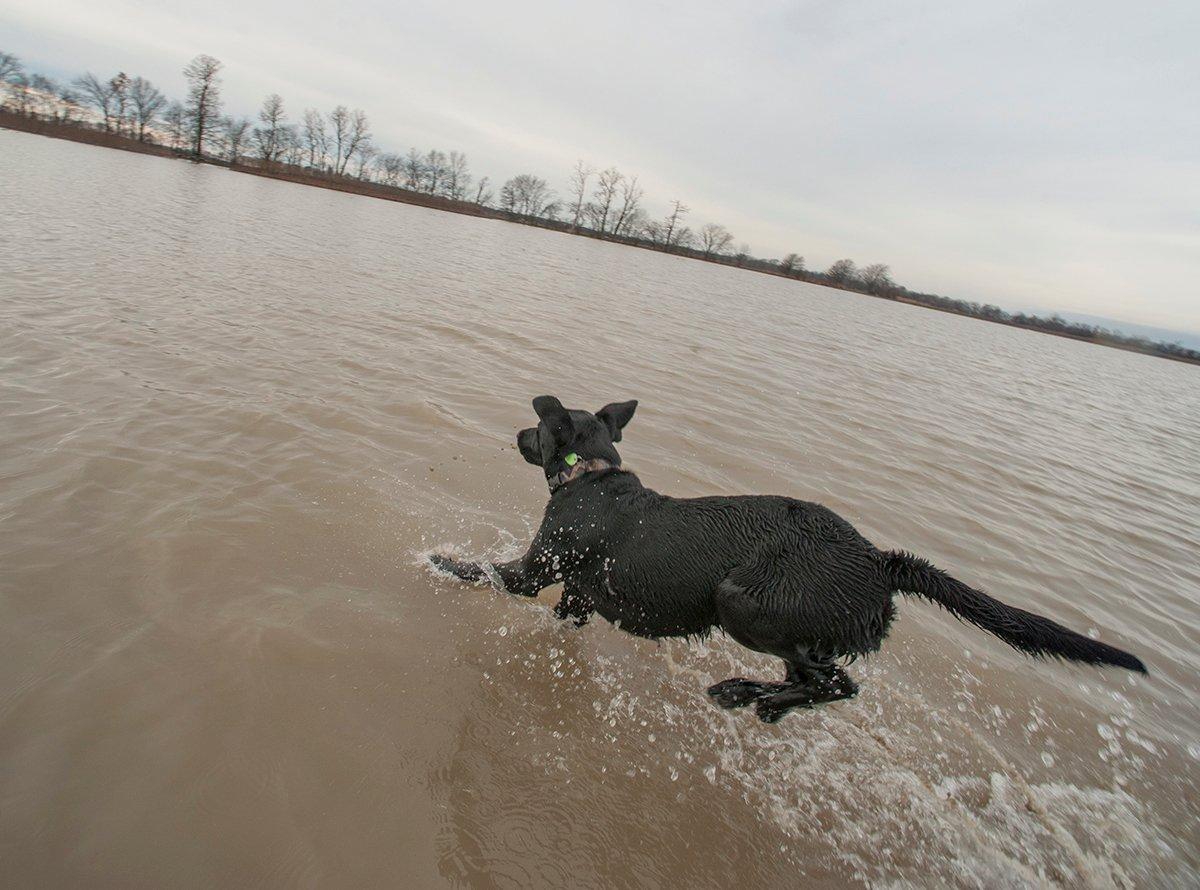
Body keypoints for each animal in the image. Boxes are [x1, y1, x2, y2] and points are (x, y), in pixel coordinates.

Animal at [429, 398, 1142, 724]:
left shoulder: (536, 571)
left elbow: (489, 572)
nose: (516, 432)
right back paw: (755, 694)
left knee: (837, 683)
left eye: (538, 428)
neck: (593, 476)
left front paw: (437, 560)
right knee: (821, 678)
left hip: (744, 602)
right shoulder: (575, 599)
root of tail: (879, 560)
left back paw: (755, 695)